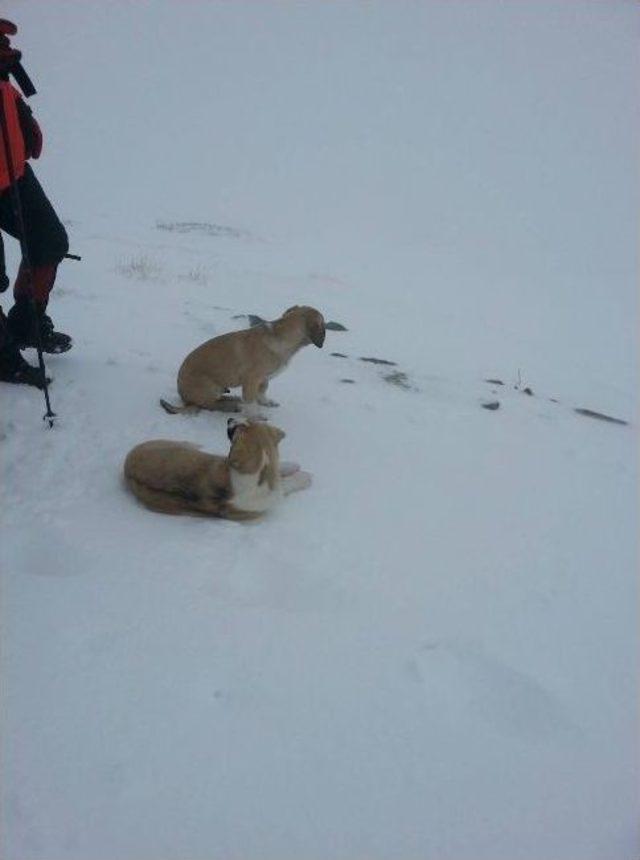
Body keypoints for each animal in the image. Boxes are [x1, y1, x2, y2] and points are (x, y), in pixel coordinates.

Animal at [123, 418, 312, 520]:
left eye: (243, 424)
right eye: (237, 427)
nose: (229, 419)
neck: (260, 472)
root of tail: (127, 461)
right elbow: (285, 485)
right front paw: (302, 475)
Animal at [160, 306, 324, 420]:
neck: (280, 336)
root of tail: (184, 398)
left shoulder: (263, 379)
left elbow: (262, 391)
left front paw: (265, 402)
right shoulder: (251, 380)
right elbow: (251, 401)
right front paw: (255, 417)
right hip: (209, 387)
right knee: (211, 405)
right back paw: (234, 405)